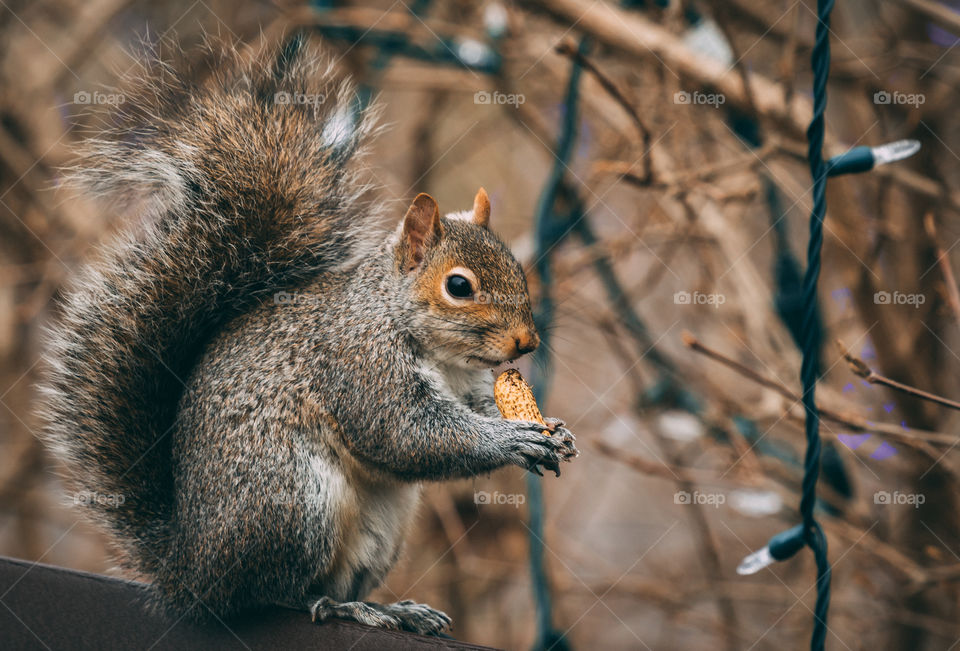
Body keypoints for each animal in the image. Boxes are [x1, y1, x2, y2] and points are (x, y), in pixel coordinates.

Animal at [41, 37, 577, 636]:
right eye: (458, 286)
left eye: (517, 268)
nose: (527, 343)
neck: (439, 351)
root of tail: (190, 572)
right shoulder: (359, 362)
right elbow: (406, 433)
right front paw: (511, 441)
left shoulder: (470, 386)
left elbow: (471, 414)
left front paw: (551, 431)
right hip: (294, 501)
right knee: (274, 593)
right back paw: (336, 606)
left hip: (380, 526)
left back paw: (392, 609)